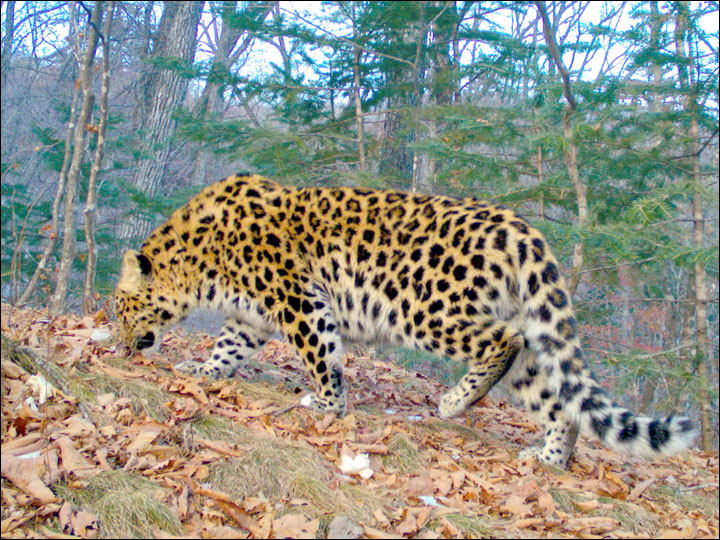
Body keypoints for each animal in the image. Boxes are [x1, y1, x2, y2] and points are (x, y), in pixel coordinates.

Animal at [115, 174, 696, 468]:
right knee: (558, 397)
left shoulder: (300, 300)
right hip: (527, 343)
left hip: (427, 307)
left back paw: (455, 402)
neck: (195, 261)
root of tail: (518, 226)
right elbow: (227, 346)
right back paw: (551, 457)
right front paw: (203, 372)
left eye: (120, 309)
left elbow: (320, 353)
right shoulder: (253, 314)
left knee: (501, 341)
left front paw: (326, 403)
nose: (120, 343)